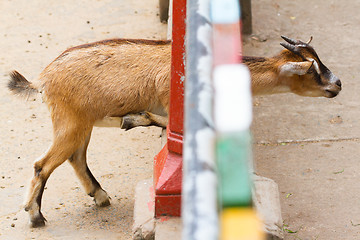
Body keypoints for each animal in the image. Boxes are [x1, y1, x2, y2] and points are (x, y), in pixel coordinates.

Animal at [7, 35, 340, 227]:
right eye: (312, 69)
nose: (337, 84)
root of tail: (42, 79)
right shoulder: (174, 102)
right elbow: (169, 126)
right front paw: (133, 118)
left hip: (80, 123)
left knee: (76, 158)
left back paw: (100, 195)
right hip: (70, 121)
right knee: (42, 164)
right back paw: (36, 216)